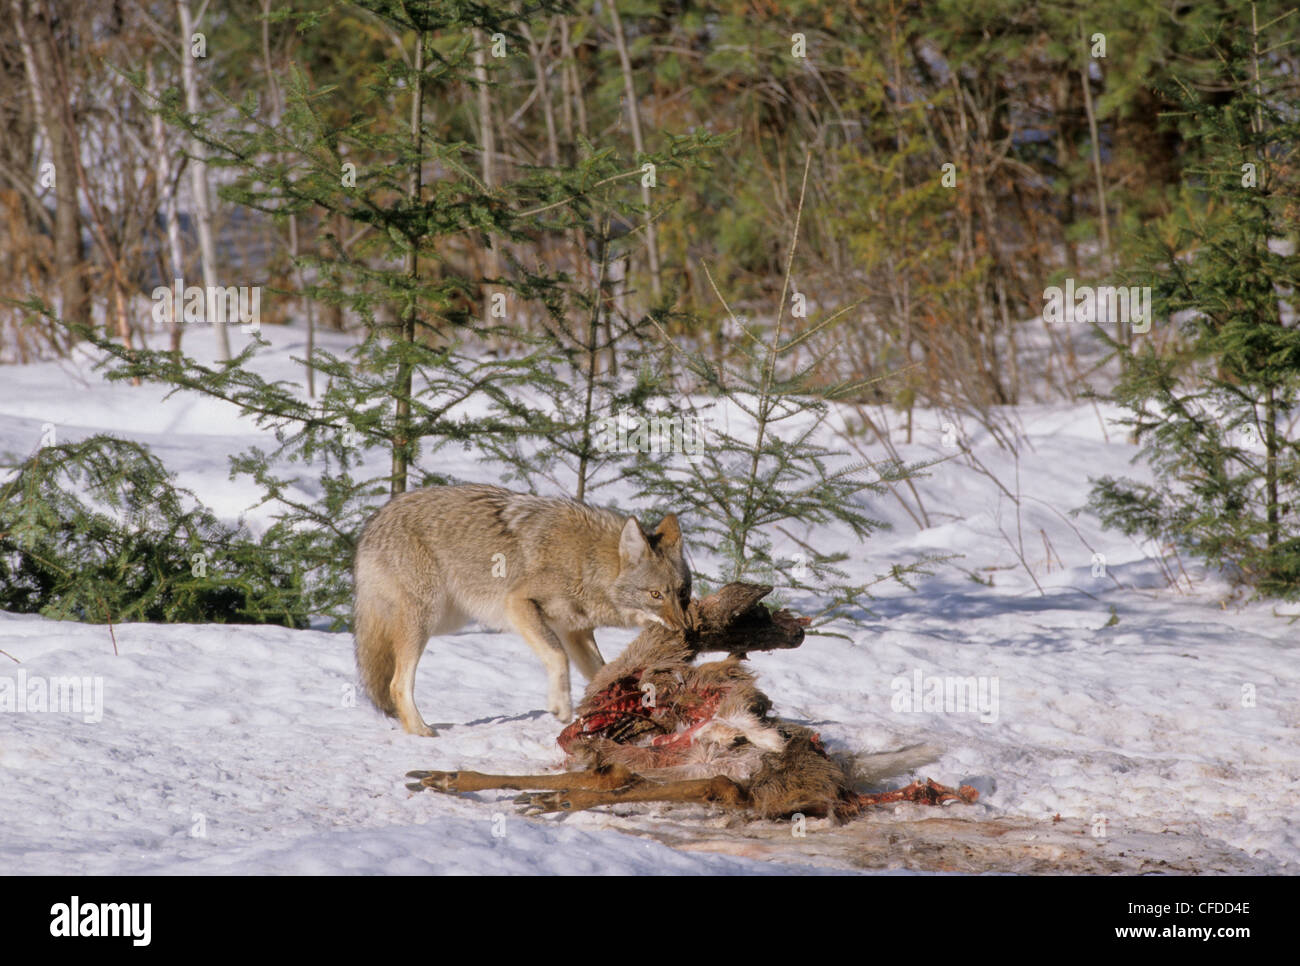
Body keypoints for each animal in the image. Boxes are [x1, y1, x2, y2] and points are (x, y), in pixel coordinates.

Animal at [353, 484, 690, 736]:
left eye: (683, 594)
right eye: (656, 594)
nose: (685, 632)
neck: (587, 562)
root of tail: (374, 520)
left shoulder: (576, 632)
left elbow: (603, 674)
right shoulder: (518, 604)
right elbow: (557, 657)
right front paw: (561, 707)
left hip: (446, 620)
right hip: (425, 620)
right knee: (397, 684)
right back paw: (421, 730)